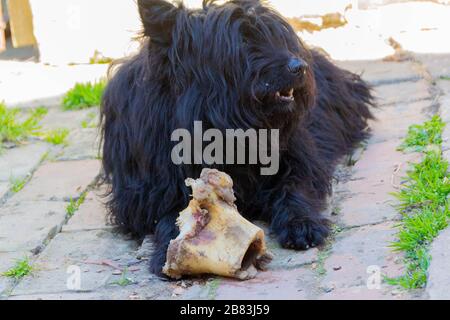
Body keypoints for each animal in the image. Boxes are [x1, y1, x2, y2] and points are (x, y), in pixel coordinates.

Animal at [100, 0, 374, 276]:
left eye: (276, 37)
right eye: (242, 42)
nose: (299, 67)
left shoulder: (296, 156)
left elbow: (294, 186)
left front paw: (302, 222)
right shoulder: (148, 193)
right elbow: (166, 214)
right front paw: (169, 249)